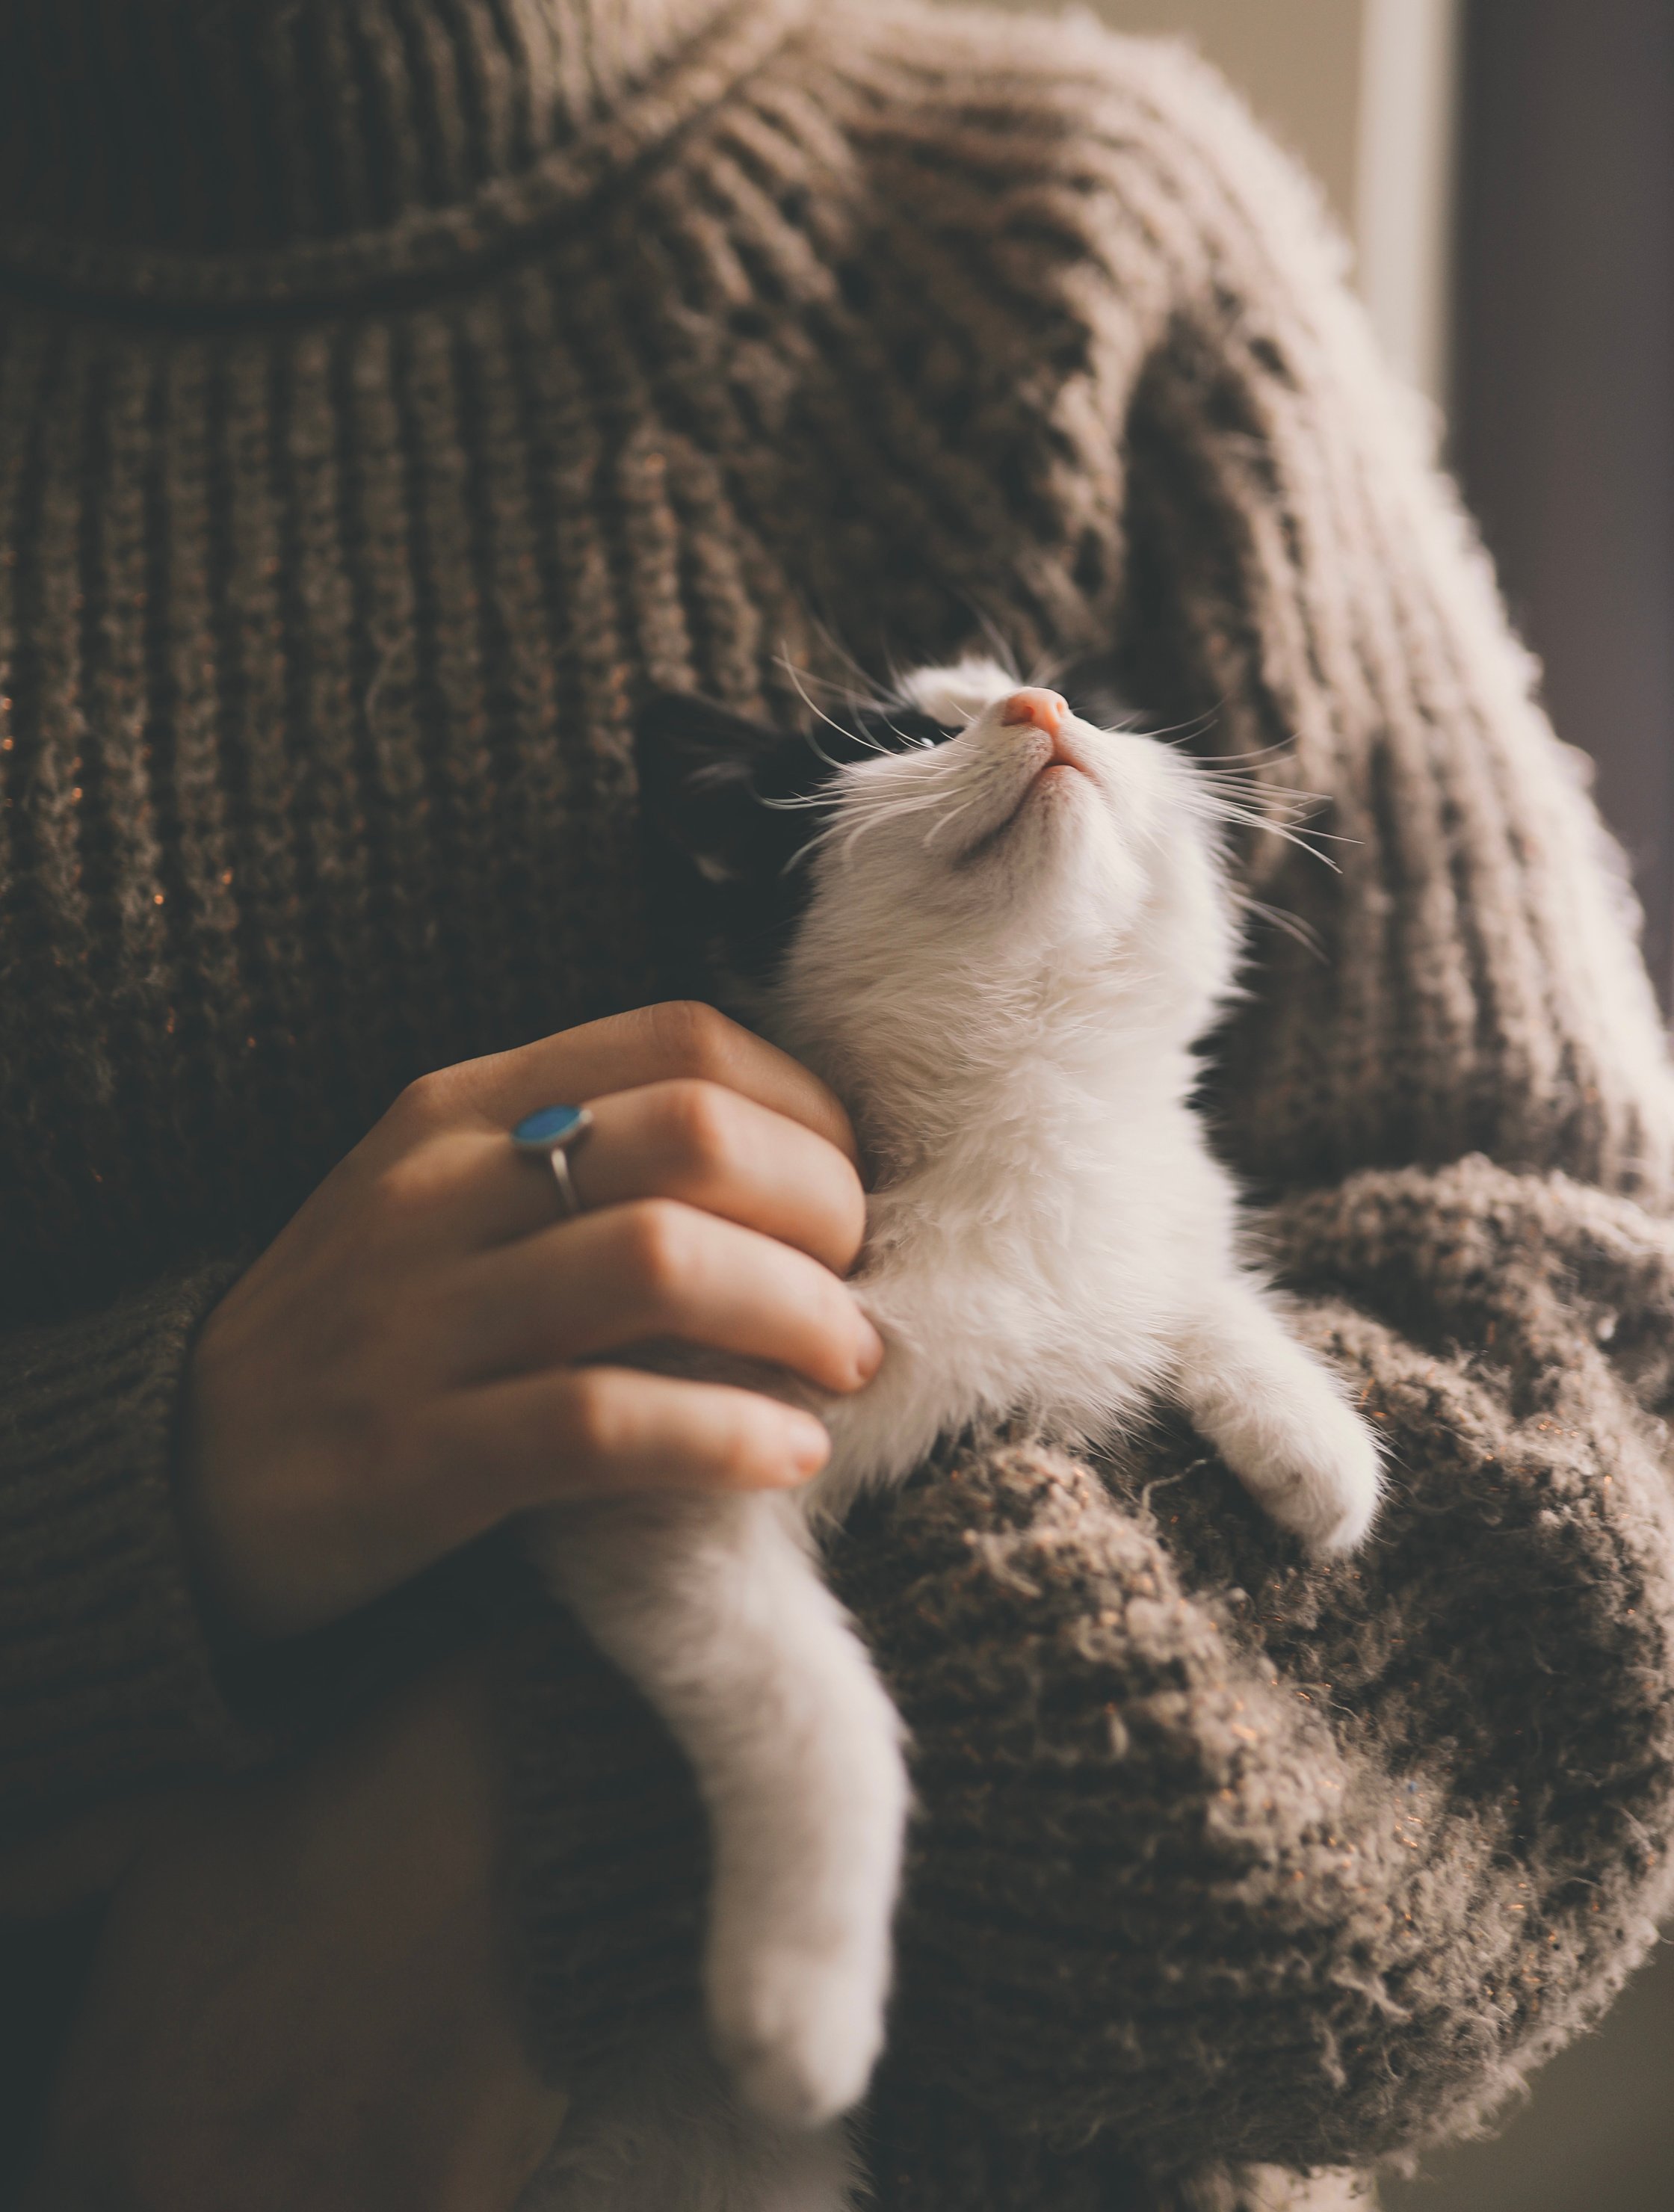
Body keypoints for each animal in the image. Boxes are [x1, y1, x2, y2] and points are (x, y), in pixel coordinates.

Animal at [528, 659, 1380, 2212]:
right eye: (896, 736)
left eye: (1096, 710)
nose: (1038, 705)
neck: (1021, 1114)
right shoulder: (656, 1443)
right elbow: (811, 1697)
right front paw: (802, 2001)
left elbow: (1179, 1267)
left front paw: (1310, 1437)